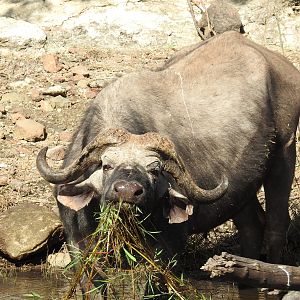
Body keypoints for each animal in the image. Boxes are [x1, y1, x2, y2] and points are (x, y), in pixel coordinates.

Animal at [37, 30, 300, 292]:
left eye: (155, 170)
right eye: (106, 165)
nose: (127, 192)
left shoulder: (168, 247)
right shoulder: (78, 245)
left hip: (285, 152)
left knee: (277, 223)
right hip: (242, 190)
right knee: (251, 227)